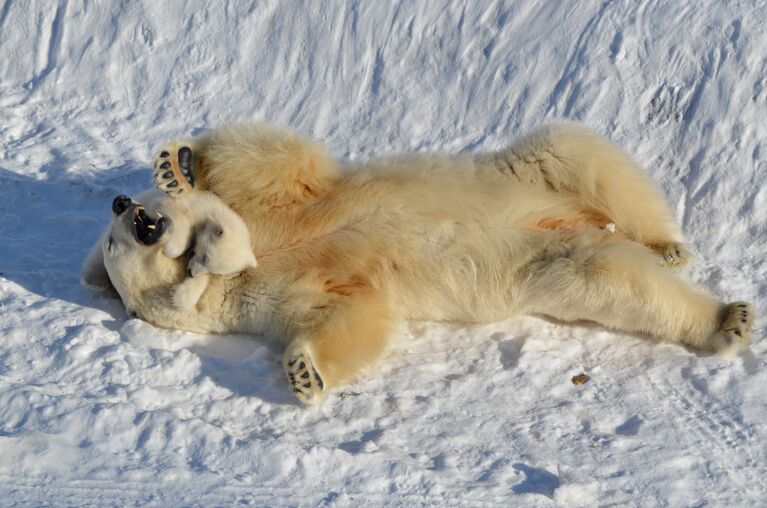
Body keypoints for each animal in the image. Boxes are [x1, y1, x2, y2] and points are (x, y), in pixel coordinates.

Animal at [79, 122, 756, 404]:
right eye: (115, 246)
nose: (123, 206)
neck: (252, 261)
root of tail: (578, 221)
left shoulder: (281, 206)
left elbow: (273, 162)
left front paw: (177, 166)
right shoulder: (266, 296)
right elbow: (348, 312)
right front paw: (304, 373)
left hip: (532, 174)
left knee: (581, 156)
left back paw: (669, 246)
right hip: (549, 263)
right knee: (612, 279)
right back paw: (725, 320)